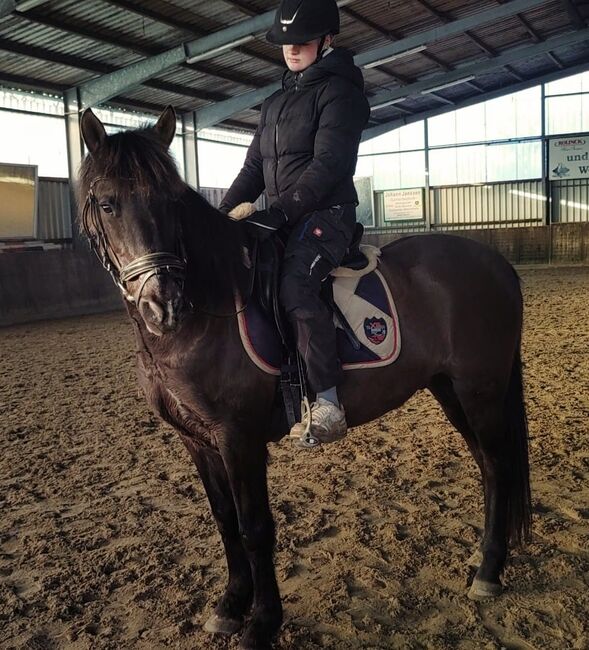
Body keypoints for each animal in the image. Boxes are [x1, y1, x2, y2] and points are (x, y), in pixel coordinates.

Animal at [76, 107, 532, 648]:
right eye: (108, 204)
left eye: (171, 203)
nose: (163, 304)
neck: (205, 311)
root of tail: (498, 264)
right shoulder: (197, 440)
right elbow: (225, 522)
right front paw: (230, 606)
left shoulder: (238, 437)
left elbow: (254, 527)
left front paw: (262, 623)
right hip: (451, 389)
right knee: (488, 466)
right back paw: (485, 558)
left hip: (480, 389)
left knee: (498, 465)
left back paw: (488, 572)